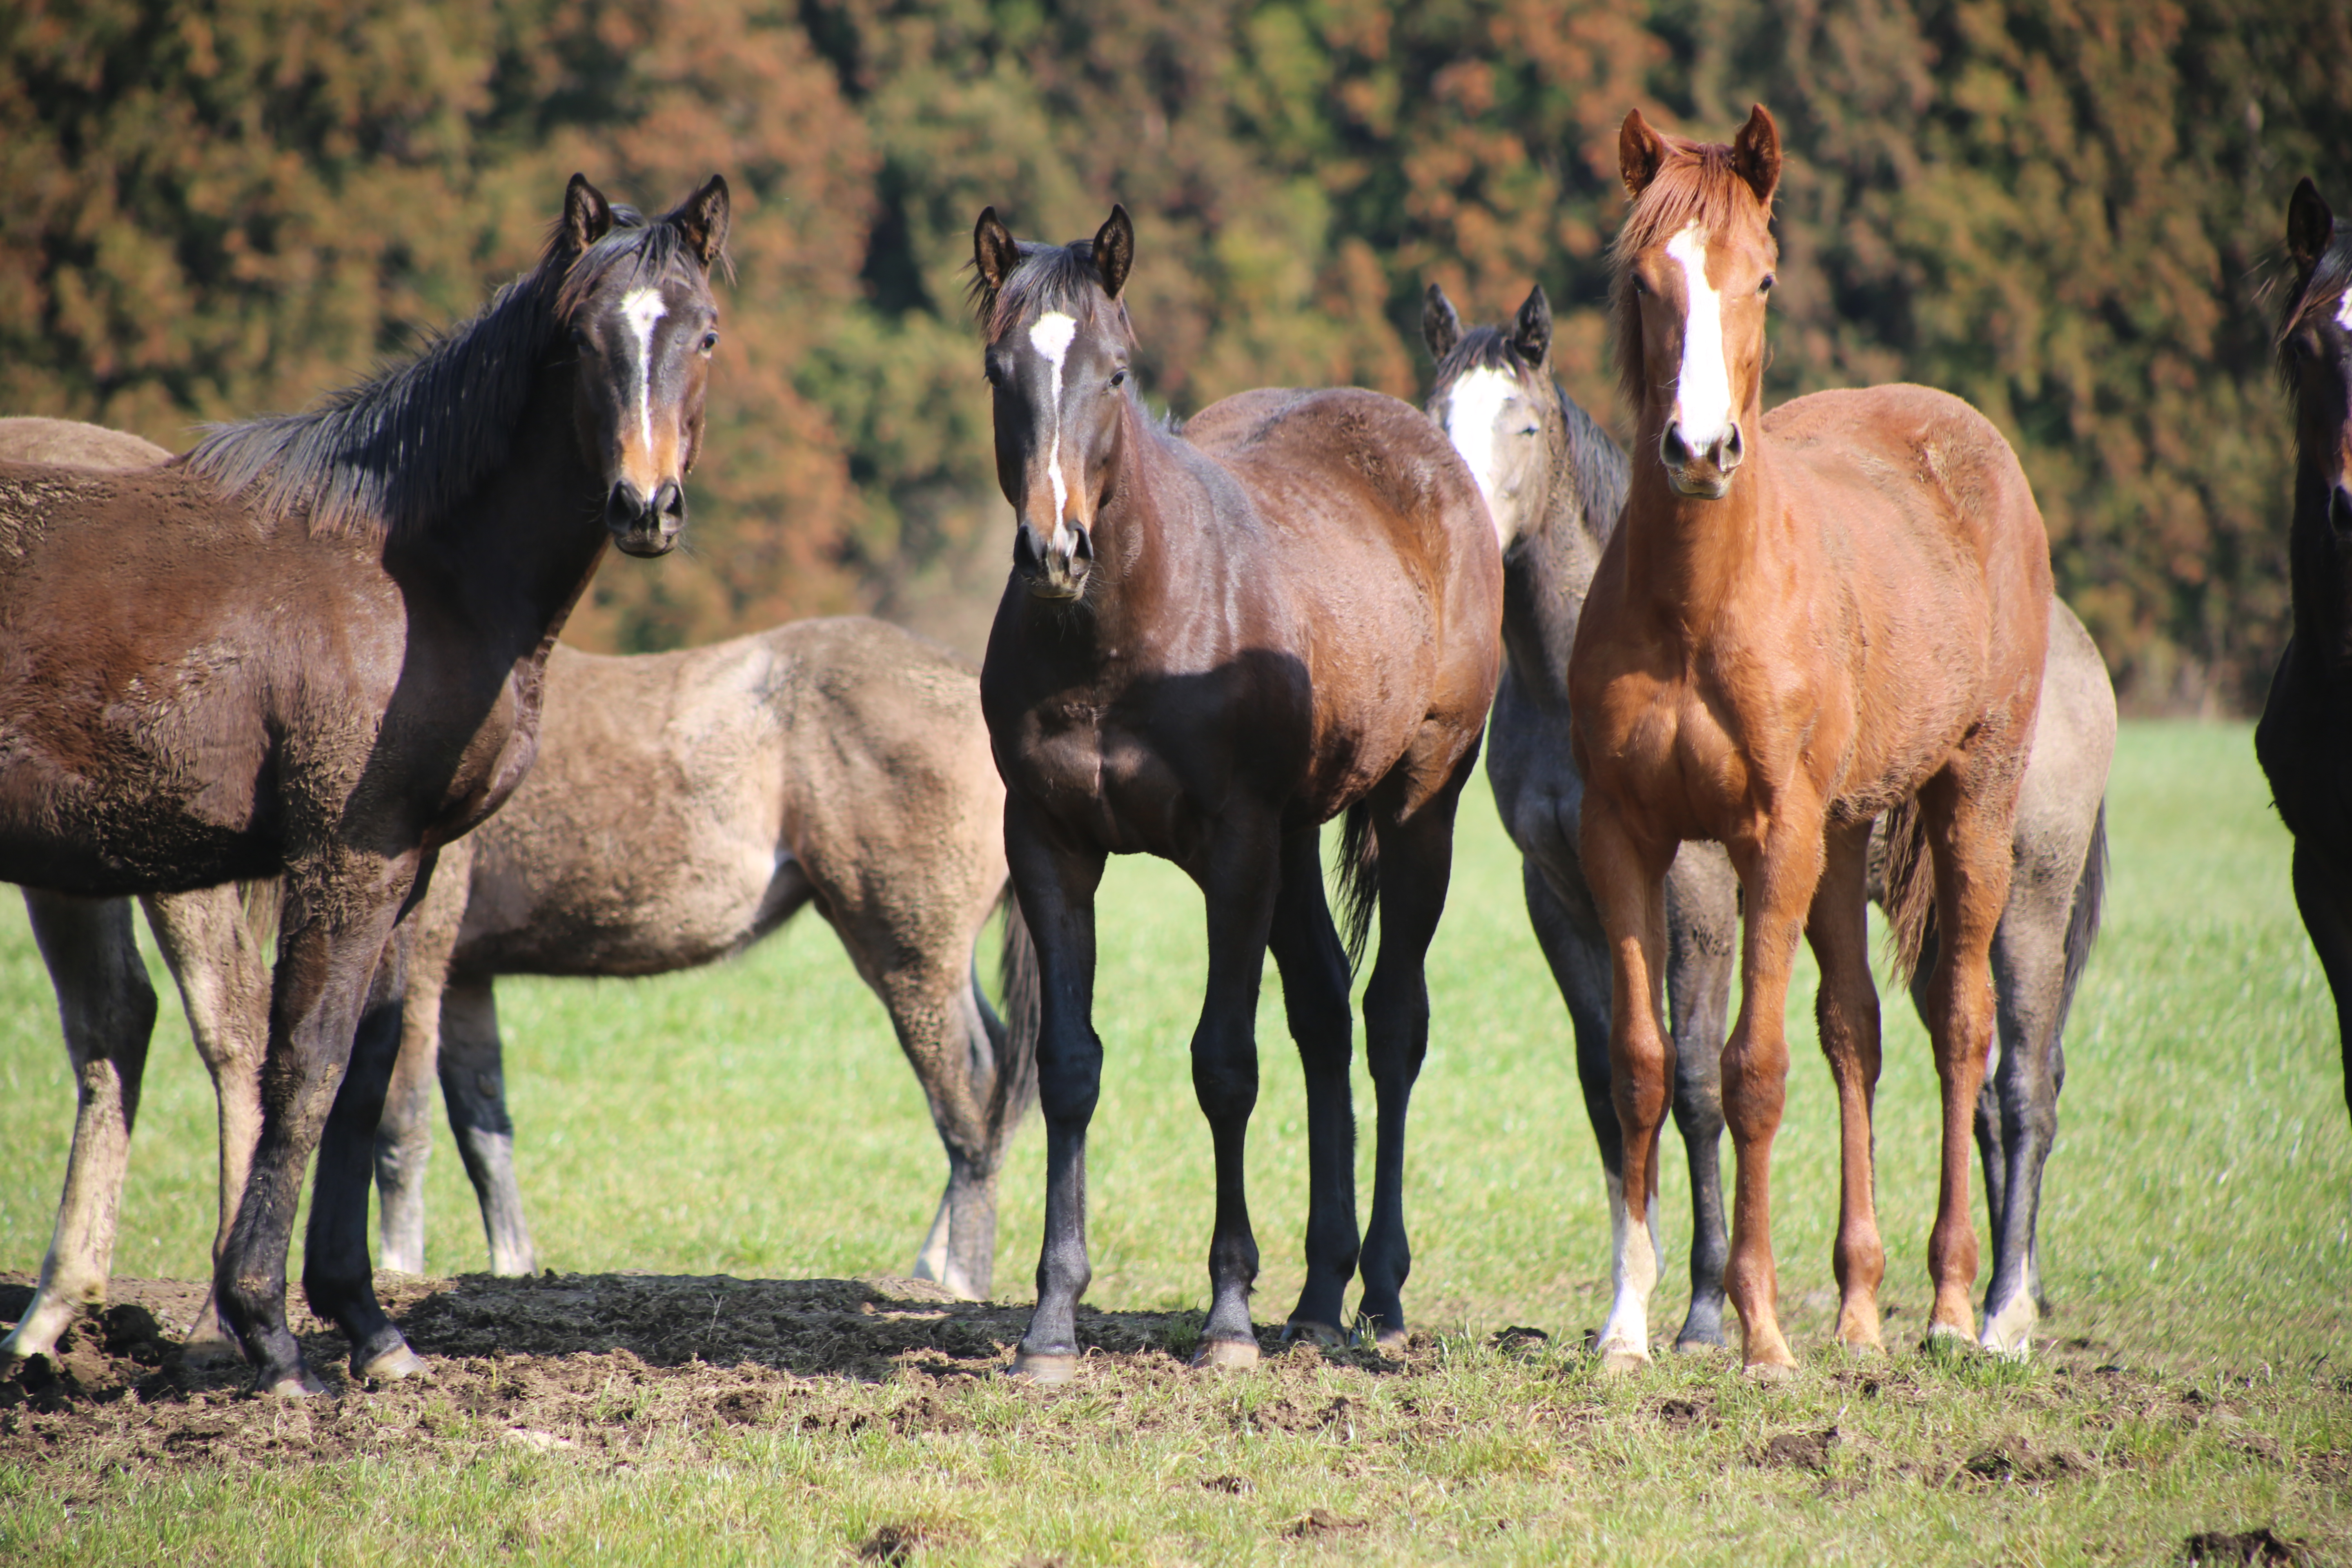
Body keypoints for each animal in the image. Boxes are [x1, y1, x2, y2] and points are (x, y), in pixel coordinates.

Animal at [0, 181, 729, 1401]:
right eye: (584, 339)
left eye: (704, 332)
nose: (645, 506)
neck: (407, 568)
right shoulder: (346, 857)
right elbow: (308, 1063)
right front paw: (269, 1328)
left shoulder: (407, 864)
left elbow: (369, 1071)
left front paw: (367, 1323)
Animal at [973, 205, 1505, 1373]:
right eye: (999, 369)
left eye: (1115, 372)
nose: (1053, 549)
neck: (1126, 633)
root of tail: (1434, 459)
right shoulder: (1049, 844)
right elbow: (1068, 1067)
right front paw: (1051, 1322)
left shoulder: (1233, 849)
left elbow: (1224, 1063)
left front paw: (1224, 1317)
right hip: (1298, 840)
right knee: (1324, 1013)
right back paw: (1315, 1294)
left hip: (1418, 805)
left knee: (1390, 1021)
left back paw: (1379, 1294)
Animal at [1571, 110, 2051, 1382]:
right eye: (1644, 281)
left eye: (1762, 278)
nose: (1696, 450)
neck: (1698, 606)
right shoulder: (1624, 839)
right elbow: (1644, 1065)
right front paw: (1627, 1326)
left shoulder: (1770, 838)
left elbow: (1751, 1070)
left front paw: (1758, 1334)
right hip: (1841, 838)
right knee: (1857, 1036)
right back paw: (1860, 1307)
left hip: (1970, 803)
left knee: (1960, 1028)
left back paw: (1950, 1306)